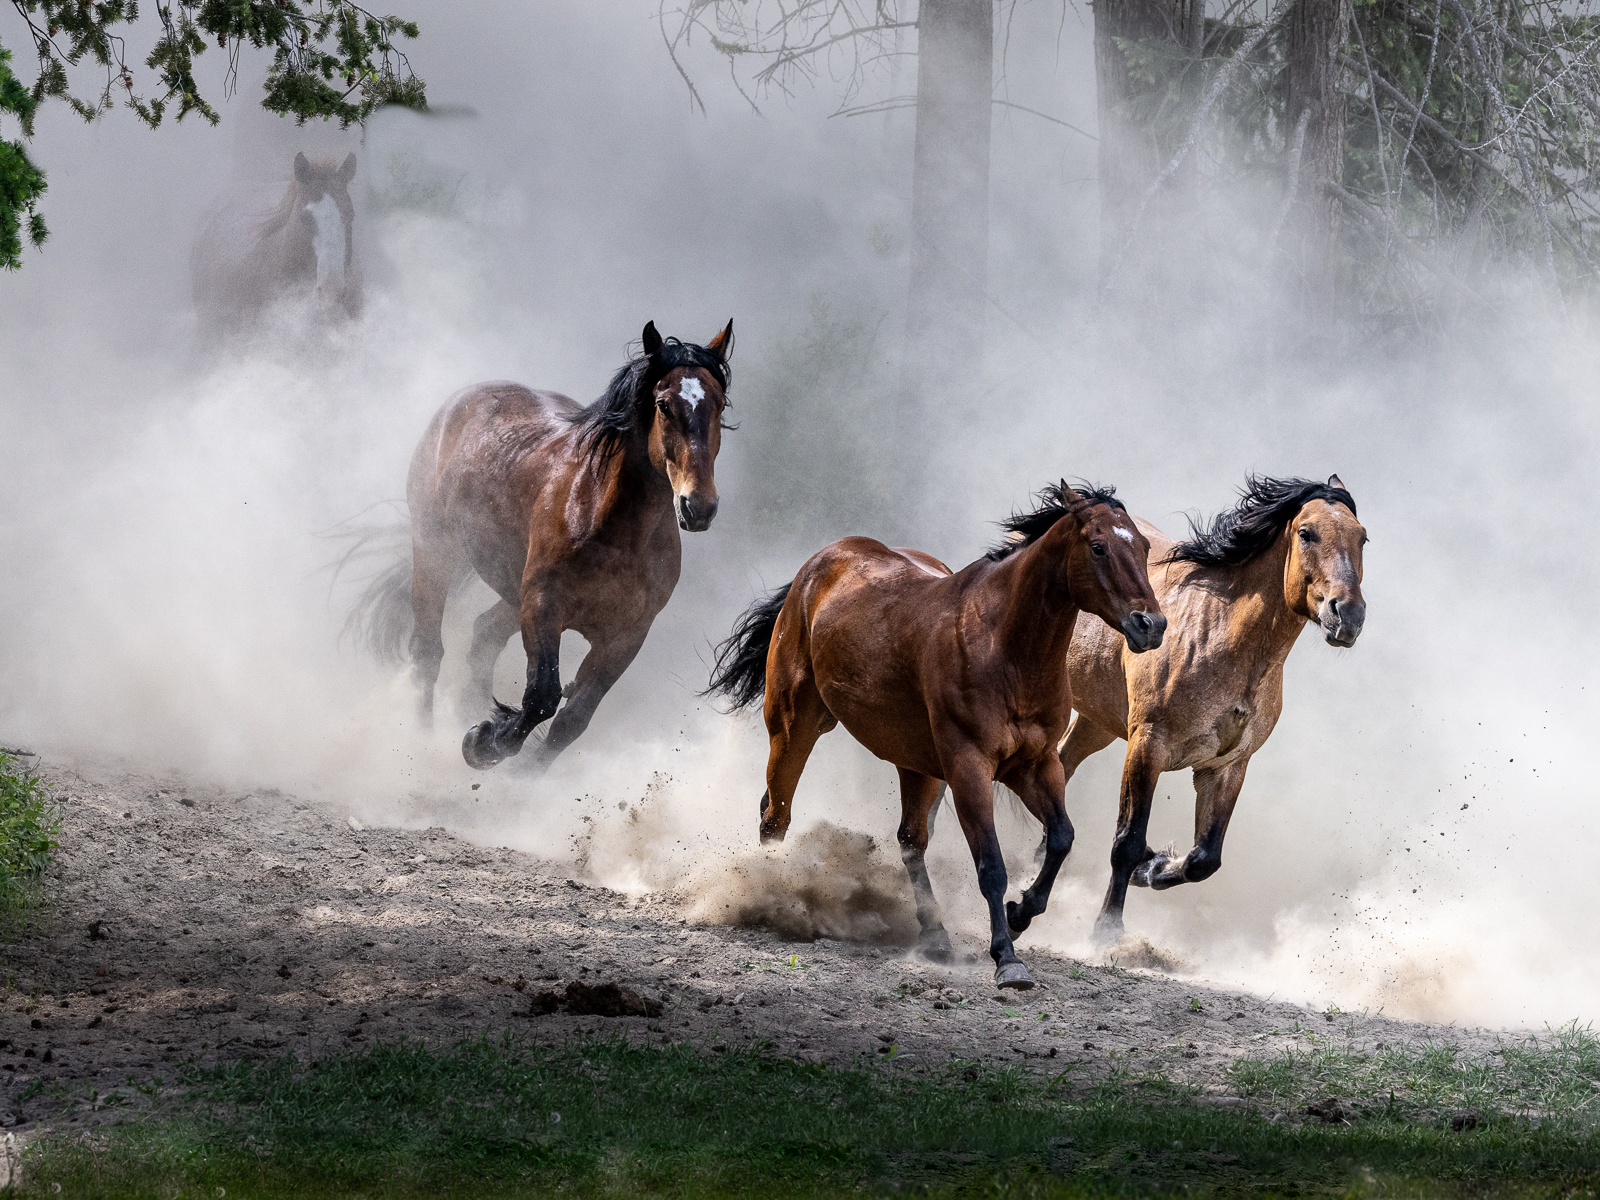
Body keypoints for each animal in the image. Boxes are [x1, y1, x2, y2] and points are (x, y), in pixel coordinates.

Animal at [351, 320, 735, 774]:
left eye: (720, 404)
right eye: (662, 404)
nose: (699, 506)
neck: (614, 531)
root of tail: (460, 402)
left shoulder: (626, 636)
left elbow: (572, 719)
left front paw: (516, 767)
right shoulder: (542, 604)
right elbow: (542, 696)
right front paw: (482, 743)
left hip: (509, 586)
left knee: (483, 635)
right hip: (435, 550)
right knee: (427, 652)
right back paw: (423, 739)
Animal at [706, 483, 1168, 989]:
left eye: (1143, 548)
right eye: (1098, 546)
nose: (1152, 625)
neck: (1004, 649)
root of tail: (818, 565)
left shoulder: (1035, 764)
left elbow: (1061, 837)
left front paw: (1021, 913)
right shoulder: (969, 767)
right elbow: (991, 866)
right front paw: (1007, 958)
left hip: (915, 763)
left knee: (910, 840)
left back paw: (935, 936)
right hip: (794, 724)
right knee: (776, 815)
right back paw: (772, 894)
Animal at [1046, 475, 1368, 944]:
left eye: (1363, 538)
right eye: (1307, 533)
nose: (1348, 615)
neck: (1220, 638)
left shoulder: (1227, 765)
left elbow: (1204, 858)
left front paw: (1155, 866)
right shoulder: (1148, 745)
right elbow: (1126, 840)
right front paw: (1106, 930)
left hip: (1098, 720)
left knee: (1064, 761)